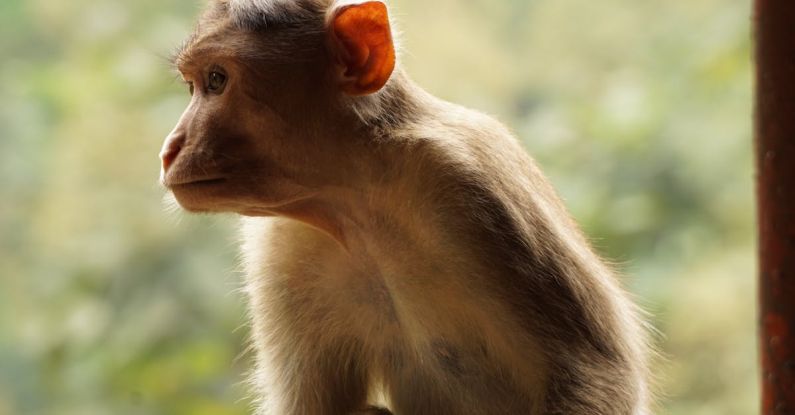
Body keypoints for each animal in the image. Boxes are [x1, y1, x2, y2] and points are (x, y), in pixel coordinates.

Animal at [159, 0, 653, 414]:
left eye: (216, 81)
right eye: (192, 85)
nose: (169, 148)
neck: (357, 202)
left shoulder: (472, 177)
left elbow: (594, 374)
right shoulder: (281, 241)